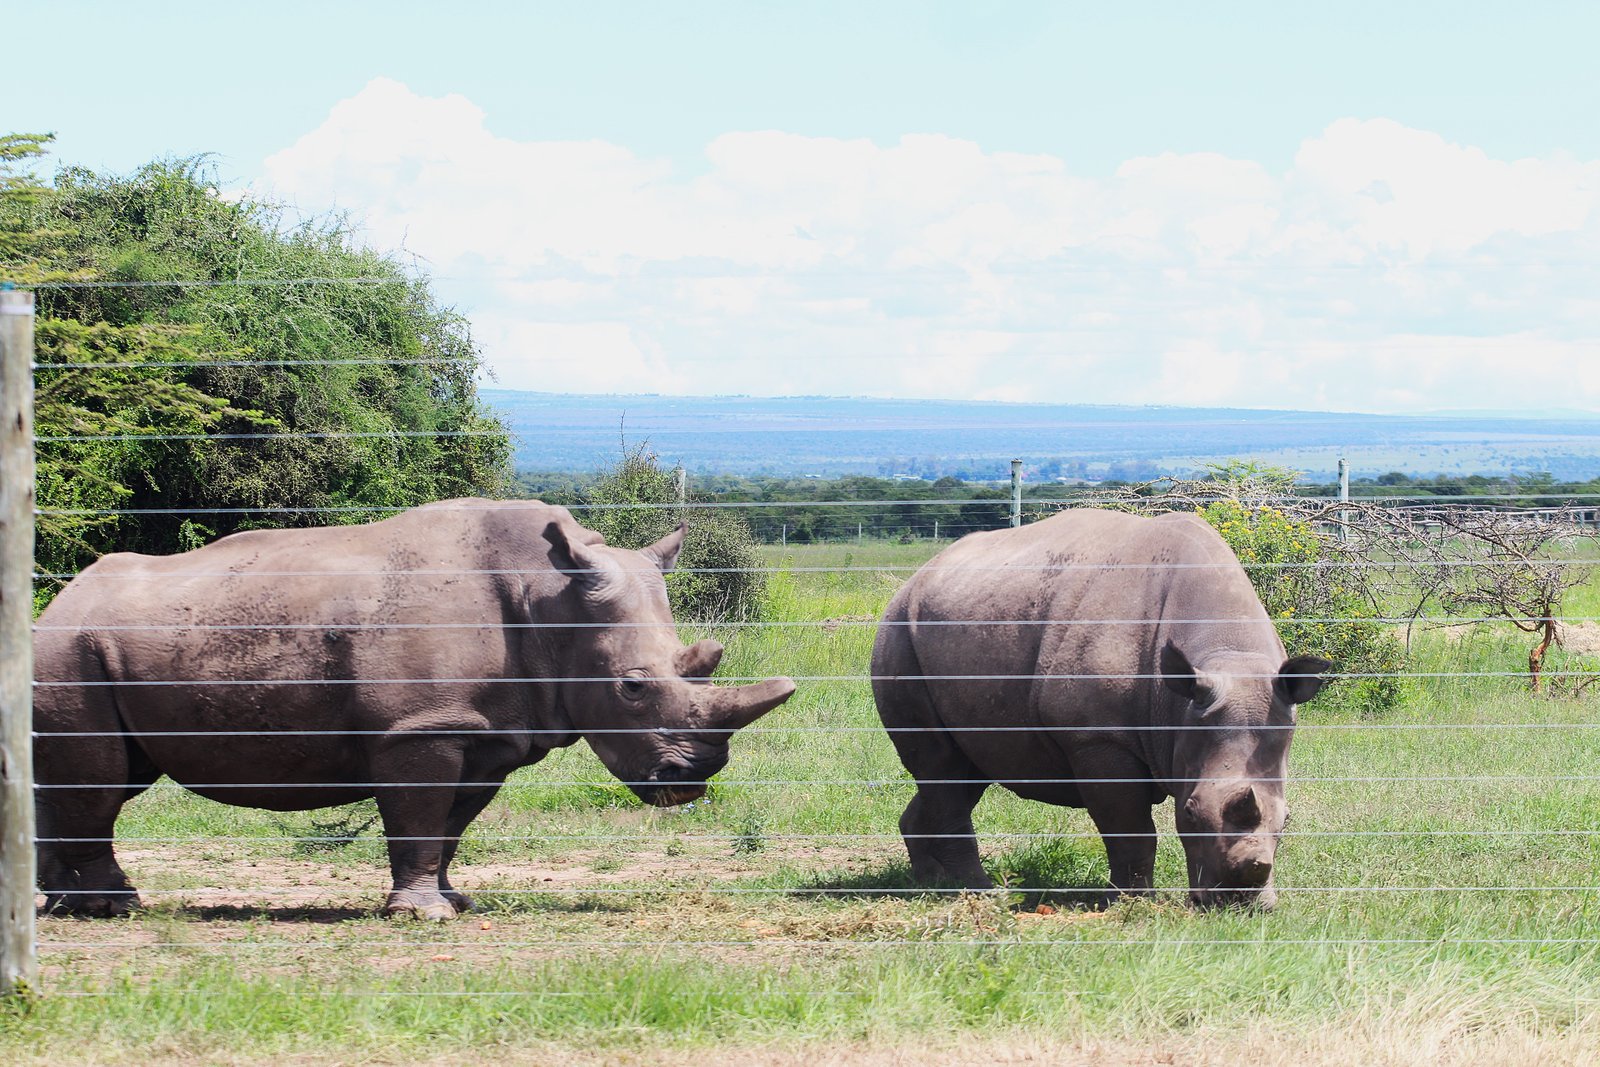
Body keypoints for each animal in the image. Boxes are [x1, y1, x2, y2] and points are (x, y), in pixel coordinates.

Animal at [33, 499, 795, 920]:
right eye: (632, 688)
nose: (689, 780)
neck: (550, 601)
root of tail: (57, 600)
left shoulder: (486, 733)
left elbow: (450, 823)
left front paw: (454, 900)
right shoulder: (420, 727)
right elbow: (420, 814)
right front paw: (423, 916)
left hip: (82, 648)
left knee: (87, 779)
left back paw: (55, 905)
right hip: (71, 650)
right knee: (99, 782)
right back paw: (112, 907)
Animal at [871, 508, 1331, 909]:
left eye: (1288, 819)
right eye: (1190, 812)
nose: (1240, 906)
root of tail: (916, 577)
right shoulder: (1096, 737)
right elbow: (1130, 829)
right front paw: (1133, 904)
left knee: (964, 770)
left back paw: (930, 885)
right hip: (898, 634)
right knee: (943, 768)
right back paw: (981, 892)